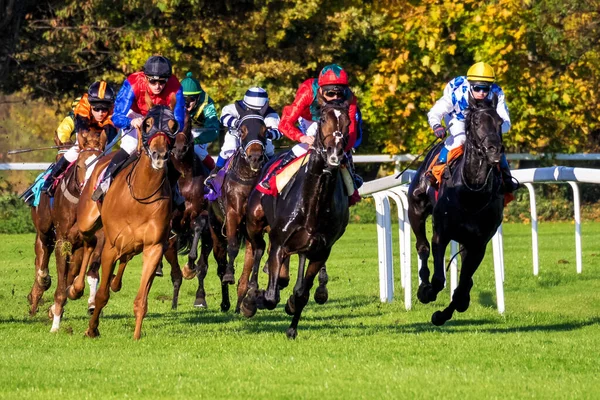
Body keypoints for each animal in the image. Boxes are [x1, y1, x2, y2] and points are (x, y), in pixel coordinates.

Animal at [74, 104, 176, 340]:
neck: (141, 194)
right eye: (147, 124)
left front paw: (136, 336)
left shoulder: (154, 247)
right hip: (87, 220)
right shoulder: (110, 247)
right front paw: (91, 329)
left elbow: (141, 300)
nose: (160, 155)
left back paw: (114, 282)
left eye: (172, 125)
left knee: (124, 257)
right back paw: (75, 288)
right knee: (89, 242)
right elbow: (102, 295)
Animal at [209, 102, 270, 312]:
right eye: (242, 131)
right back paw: (226, 302)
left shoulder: (258, 224)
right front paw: (229, 274)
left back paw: (241, 301)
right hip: (215, 230)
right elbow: (233, 246)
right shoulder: (233, 215)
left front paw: (254, 286)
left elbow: (260, 250)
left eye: (265, 130)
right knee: (220, 261)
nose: (255, 158)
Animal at [243, 102, 352, 338]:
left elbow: (302, 294)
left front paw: (292, 325)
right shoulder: (279, 244)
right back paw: (250, 296)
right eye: (323, 119)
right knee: (258, 249)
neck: (312, 206)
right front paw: (257, 298)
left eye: (348, 122)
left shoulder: (321, 251)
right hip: (254, 222)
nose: (335, 152)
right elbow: (270, 297)